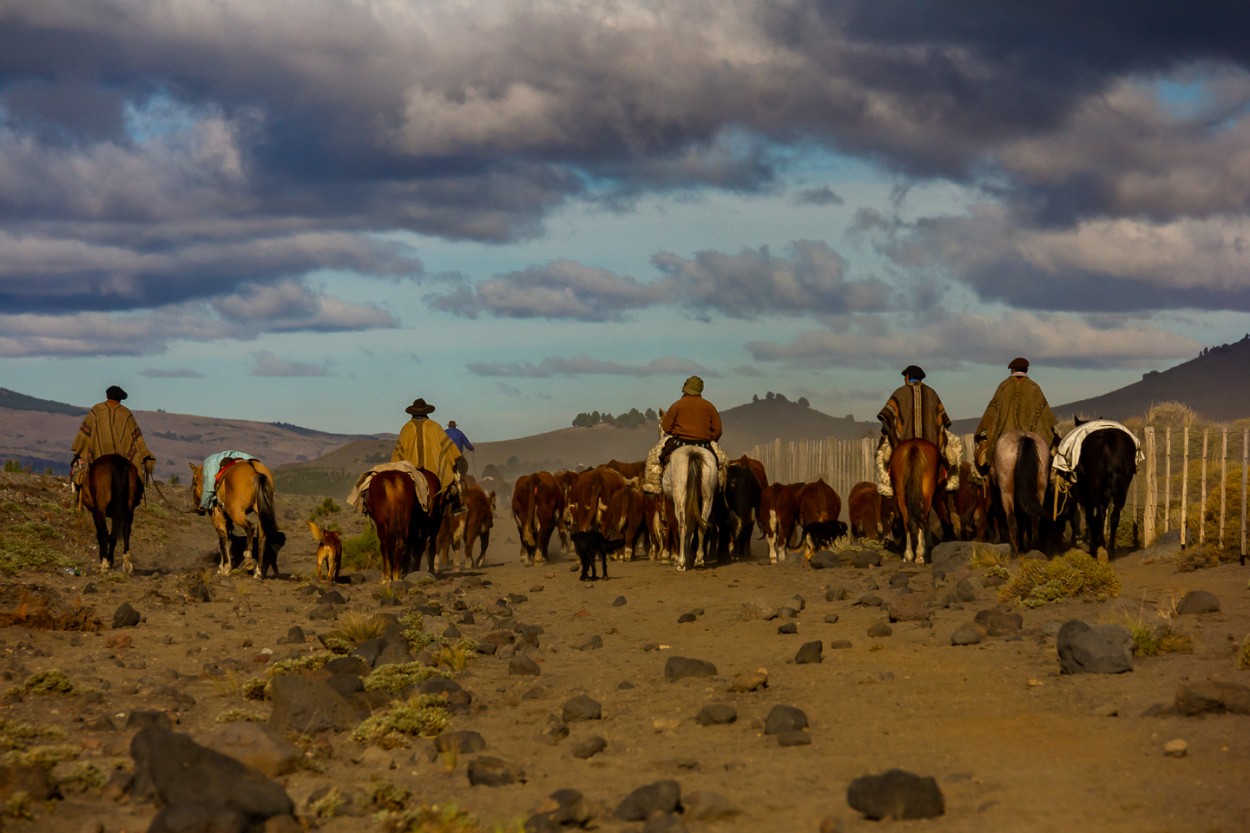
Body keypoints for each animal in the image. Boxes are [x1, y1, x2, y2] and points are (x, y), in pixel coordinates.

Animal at [890, 435, 940, 565]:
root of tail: (914, 445)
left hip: (901, 495)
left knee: (907, 521)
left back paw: (909, 555)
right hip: (927, 495)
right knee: (921, 520)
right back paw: (920, 555)